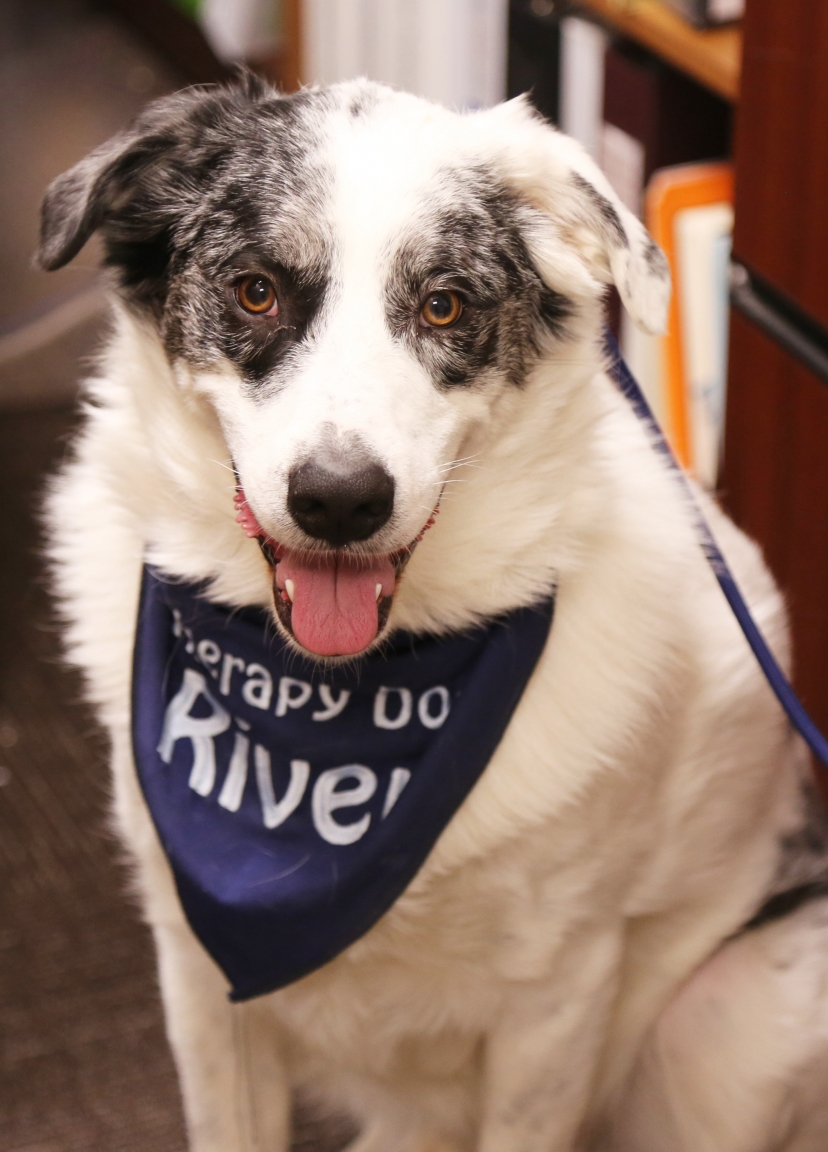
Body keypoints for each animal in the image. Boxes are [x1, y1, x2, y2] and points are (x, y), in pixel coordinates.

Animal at [42, 74, 828, 1152]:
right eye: (256, 291)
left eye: (443, 304)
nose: (339, 501)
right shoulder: (197, 974)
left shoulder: (559, 998)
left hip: (734, 1023)